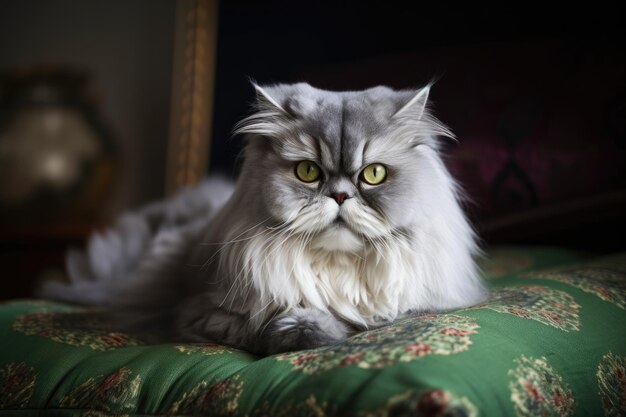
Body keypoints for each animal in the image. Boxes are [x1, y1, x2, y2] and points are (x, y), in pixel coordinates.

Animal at [41, 82, 486, 354]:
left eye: (373, 174)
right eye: (308, 172)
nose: (340, 195)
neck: (335, 268)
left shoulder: (417, 301)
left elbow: (380, 315)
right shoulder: (201, 313)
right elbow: (270, 326)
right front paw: (313, 330)